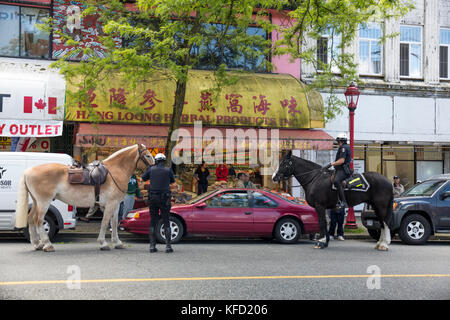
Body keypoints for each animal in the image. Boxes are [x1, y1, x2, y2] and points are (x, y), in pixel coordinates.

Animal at [14, 144, 155, 251]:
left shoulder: (114, 205)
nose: (155, 168)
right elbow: (105, 222)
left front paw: (117, 243)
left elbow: (114, 223)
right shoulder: (110, 204)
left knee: (31, 219)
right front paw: (103, 243)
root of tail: (28, 171)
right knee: (38, 220)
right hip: (44, 202)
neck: (115, 171)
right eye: (148, 155)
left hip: (36, 201)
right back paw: (47, 245)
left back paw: (37, 243)